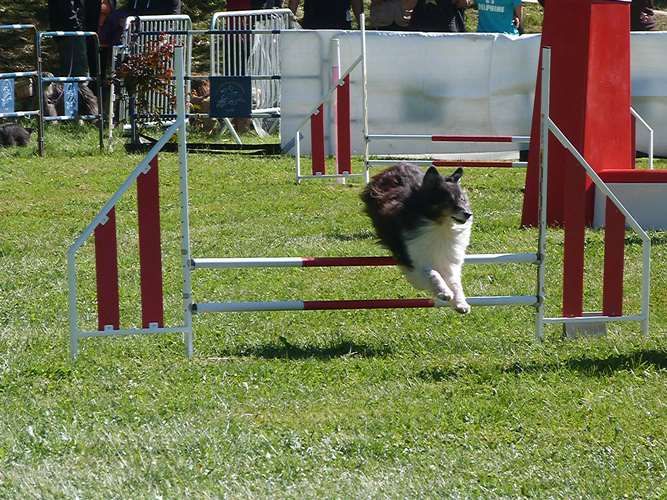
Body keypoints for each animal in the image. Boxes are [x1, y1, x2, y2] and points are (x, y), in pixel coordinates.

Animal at [360, 164, 474, 312]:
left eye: (462, 199)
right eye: (449, 200)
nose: (468, 214)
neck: (439, 225)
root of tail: (398, 165)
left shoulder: (447, 258)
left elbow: (455, 282)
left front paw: (461, 304)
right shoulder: (413, 260)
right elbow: (431, 273)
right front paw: (444, 292)